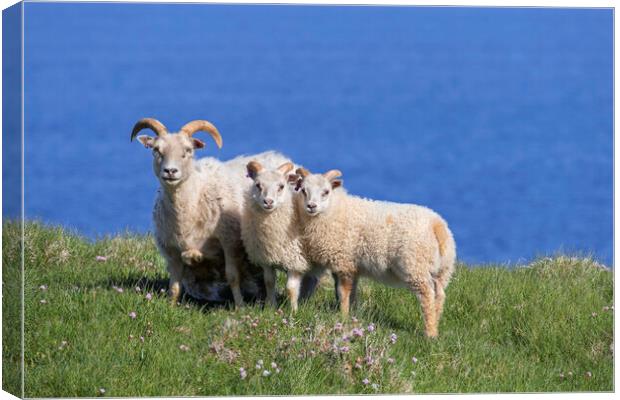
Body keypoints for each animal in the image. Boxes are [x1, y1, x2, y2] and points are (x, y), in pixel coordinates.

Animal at [131, 118, 290, 306]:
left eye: (188, 150)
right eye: (156, 150)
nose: (170, 171)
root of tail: (279, 156)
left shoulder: (230, 242)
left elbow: (232, 276)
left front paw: (240, 306)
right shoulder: (171, 250)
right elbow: (174, 285)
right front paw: (170, 306)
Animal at [241, 161, 322, 310]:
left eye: (281, 186)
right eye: (258, 185)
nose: (268, 202)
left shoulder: (296, 261)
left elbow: (290, 288)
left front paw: (294, 310)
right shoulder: (266, 260)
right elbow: (269, 282)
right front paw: (271, 307)